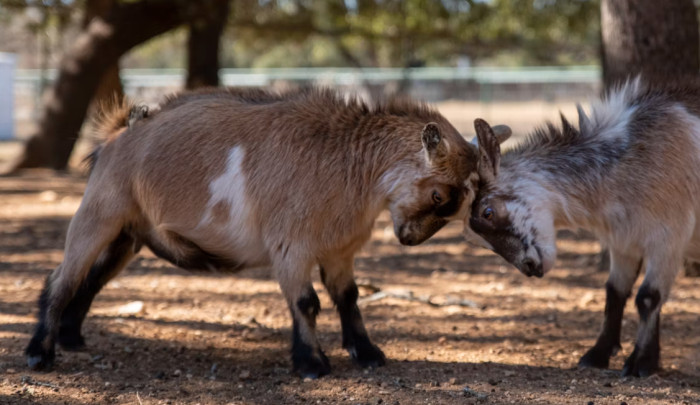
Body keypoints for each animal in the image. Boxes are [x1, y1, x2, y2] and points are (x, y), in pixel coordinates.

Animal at [26, 87, 505, 378]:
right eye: (440, 195)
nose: (412, 239)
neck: (349, 164)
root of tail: (113, 136)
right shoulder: (290, 246)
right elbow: (306, 302)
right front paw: (311, 364)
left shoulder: (340, 250)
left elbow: (348, 297)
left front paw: (367, 354)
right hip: (100, 212)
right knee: (62, 278)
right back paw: (39, 353)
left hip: (130, 234)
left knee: (90, 279)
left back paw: (70, 338)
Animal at [464, 78, 700, 377]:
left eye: (488, 212)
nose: (530, 268)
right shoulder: (624, 243)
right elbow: (615, 292)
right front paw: (597, 355)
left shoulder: (668, 238)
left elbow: (648, 297)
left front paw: (641, 364)